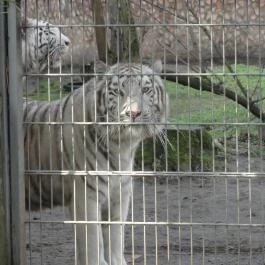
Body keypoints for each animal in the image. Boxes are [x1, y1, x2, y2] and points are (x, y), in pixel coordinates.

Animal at [23, 60, 167, 264]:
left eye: (145, 90)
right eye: (118, 91)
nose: (132, 113)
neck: (122, 146)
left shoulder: (120, 195)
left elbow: (115, 237)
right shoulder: (87, 196)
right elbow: (93, 242)